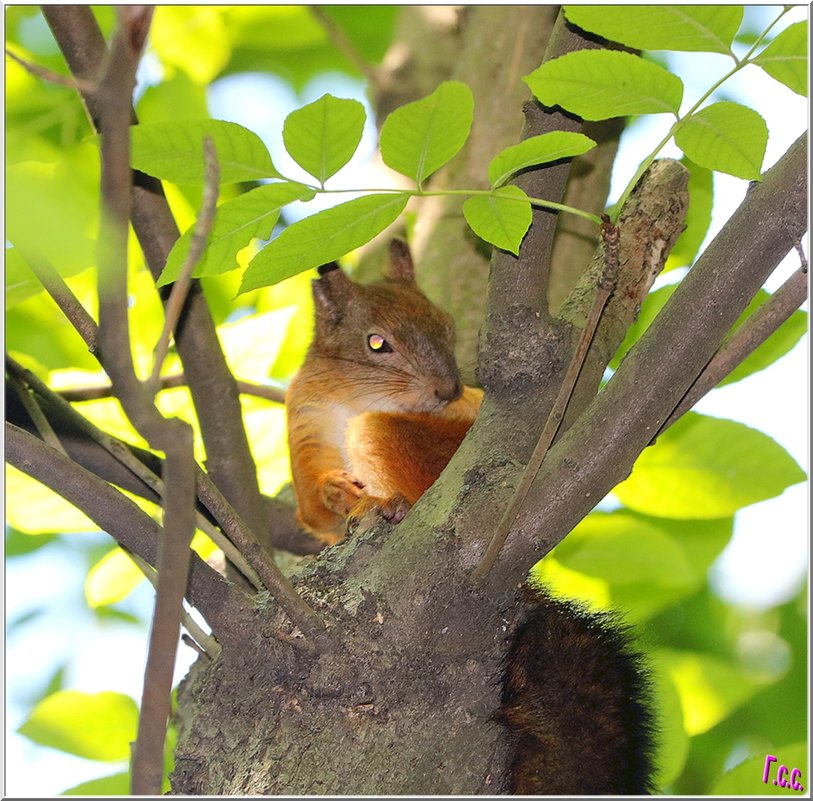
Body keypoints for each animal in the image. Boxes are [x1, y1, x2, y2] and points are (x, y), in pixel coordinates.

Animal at [286, 239, 652, 792]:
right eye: (377, 343)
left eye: (446, 324)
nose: (448, 389)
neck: (357, 396)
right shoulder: (303, 420)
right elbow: (311, 504)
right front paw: (334, 490)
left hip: (407, 444)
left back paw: (389, 505)